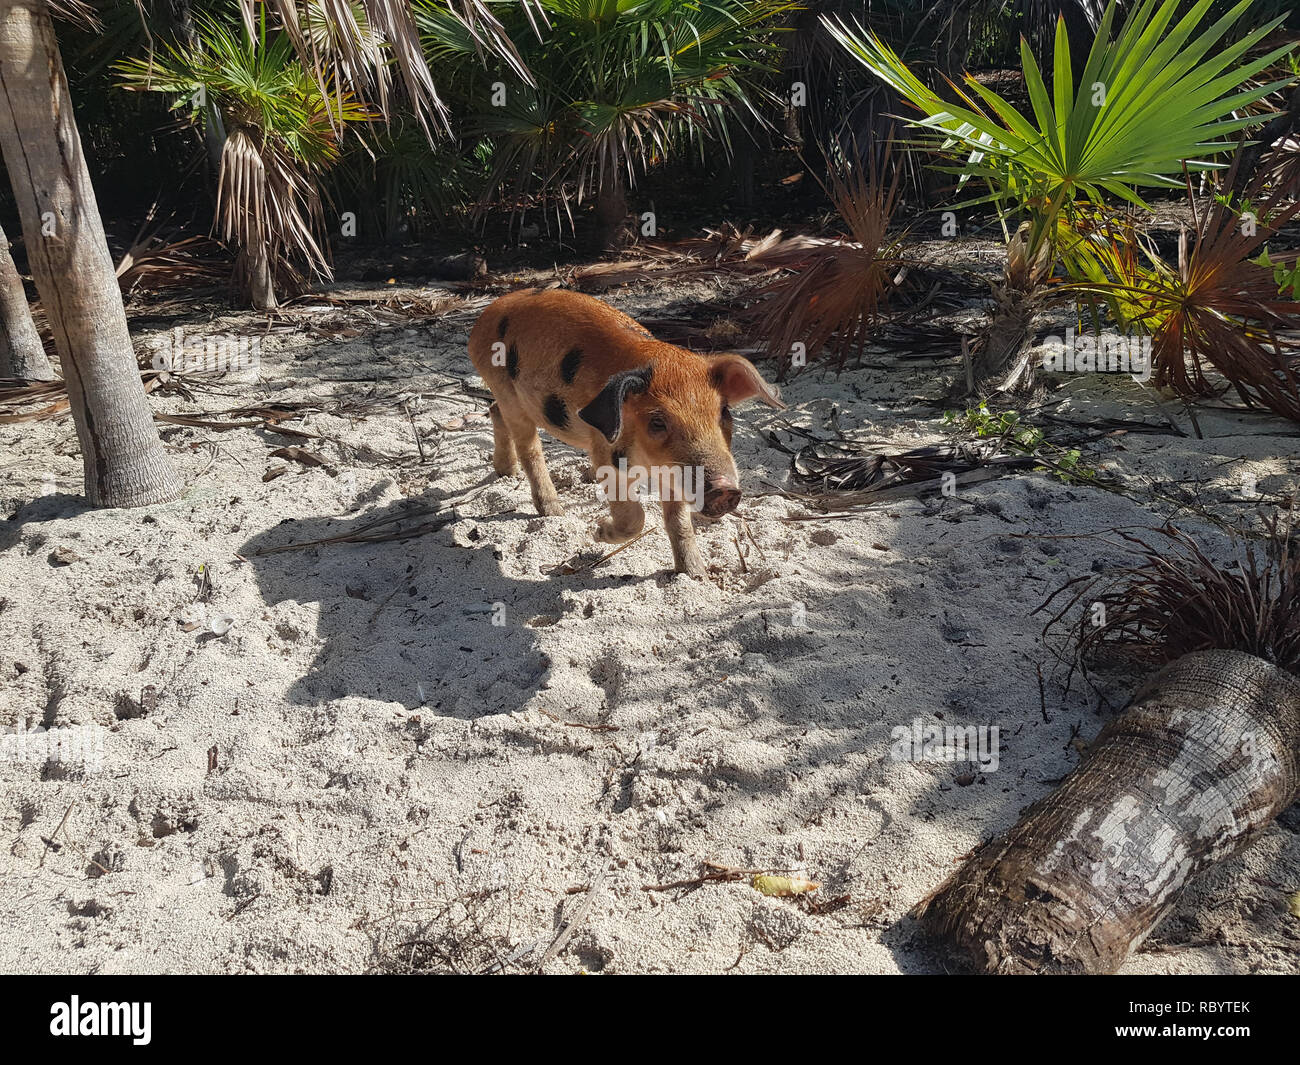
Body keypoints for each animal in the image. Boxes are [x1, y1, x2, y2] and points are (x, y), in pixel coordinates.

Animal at [473, 287, 785, 579]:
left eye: (724, 413)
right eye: (657, 422)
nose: (724, 488)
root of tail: (485, 317)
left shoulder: (672, 473)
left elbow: (679, 522)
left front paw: (695, 575)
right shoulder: (605, 454)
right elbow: (635, 517)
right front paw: (598, 532)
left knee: (494, 411)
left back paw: (506, 472)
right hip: (507, 390)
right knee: (529, 447)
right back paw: (554, 511)